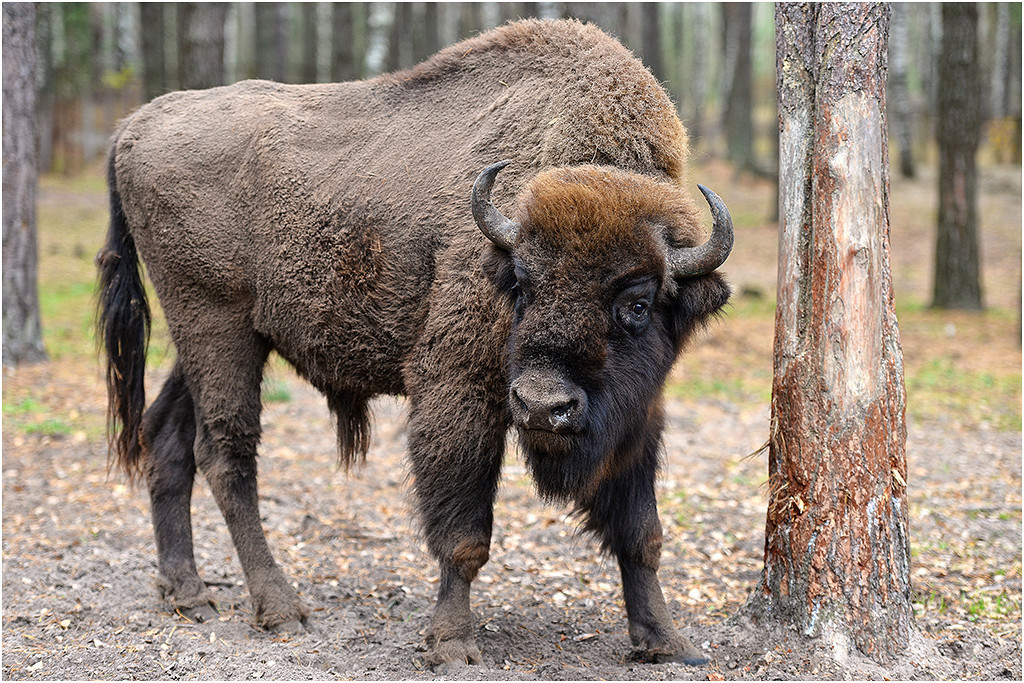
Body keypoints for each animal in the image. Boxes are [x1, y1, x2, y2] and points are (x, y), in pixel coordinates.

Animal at [99, 20, 733, 667]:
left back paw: (187, 593)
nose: (541, 406)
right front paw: (452, 643)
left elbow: (641, 533)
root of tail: (134, 127)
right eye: (522, 283)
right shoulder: (459, 392)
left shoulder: (637, 418)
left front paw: (667, 642)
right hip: (215, 325)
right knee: (225, 453)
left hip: (208, 339)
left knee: (166, 436)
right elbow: (464, 536)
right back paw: (281, 610)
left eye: (638, 303)